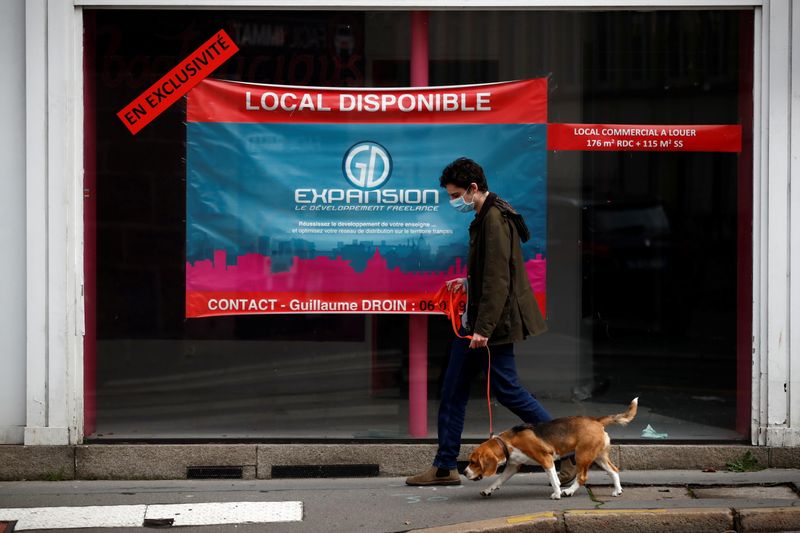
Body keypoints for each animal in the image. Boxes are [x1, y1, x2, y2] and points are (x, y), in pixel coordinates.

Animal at [462, 400, 636, 498]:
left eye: (473, 462)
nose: (464, 472)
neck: (506, 442)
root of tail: (596, 420)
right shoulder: (513, 466)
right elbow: (498, 480)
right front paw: (488, 490)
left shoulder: (545, 459)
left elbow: (553, 480)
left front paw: (557, 493)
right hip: (599, 457)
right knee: (614, 471)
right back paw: (617, 490)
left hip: (582, 455)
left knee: (582, 477)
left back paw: (569, 491)